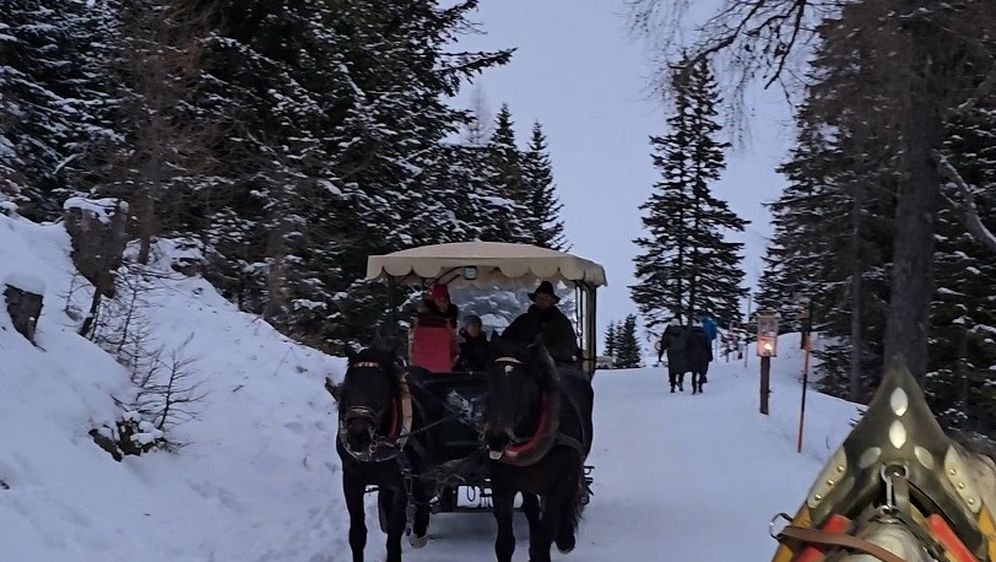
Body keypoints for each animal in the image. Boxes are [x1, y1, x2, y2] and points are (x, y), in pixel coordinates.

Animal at [324, 344, 438, 560]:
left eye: (382, 391)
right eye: (348, 387)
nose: (358, 437)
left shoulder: (400, 484)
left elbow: (394, 536)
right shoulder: (352, 481)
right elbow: (357, 534)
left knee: (421, 492)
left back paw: (419, 530)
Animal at [480, 334, 592, 560]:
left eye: (525, 384)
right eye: (489, 381)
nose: (497, 437)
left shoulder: (558, 485)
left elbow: (541, 544)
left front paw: (558, 539)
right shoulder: (501, 486)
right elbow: (504, 544)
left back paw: (565, 538)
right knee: (531, 508)